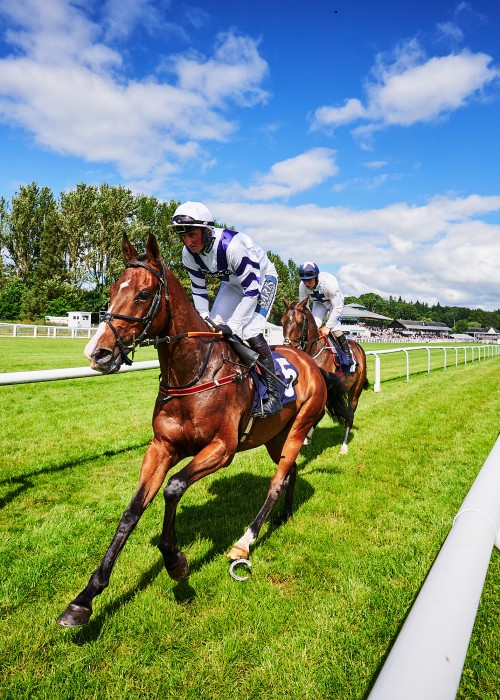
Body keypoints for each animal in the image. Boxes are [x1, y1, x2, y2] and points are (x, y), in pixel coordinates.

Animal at [56, 235, 332, 628]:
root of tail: (310, 361)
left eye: (143, 294)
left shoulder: (222, 448)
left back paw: (246, 540)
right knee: (290, 470)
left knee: (277, 480)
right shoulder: (162, 446)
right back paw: (284, 515)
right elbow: (132, 511)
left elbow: (173, 488)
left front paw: (175, 561)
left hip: (298, 428)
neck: (192, 372)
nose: (99, 353)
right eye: (110, 290)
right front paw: (84, 599)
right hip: (275, 436)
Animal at [282, 300, 368, 454]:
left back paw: (344, 445)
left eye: (299, 324)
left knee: (350, 414)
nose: (287, 347)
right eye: (282, 322)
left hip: (355, 390)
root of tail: (358, 347)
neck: (315, 351)